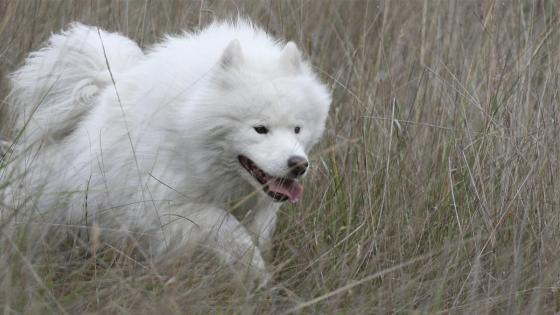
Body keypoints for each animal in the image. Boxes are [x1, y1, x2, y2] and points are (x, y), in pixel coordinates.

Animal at [2, 19, 330, 286]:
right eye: (260, 129)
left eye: (297, 129)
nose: (298, 164)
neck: (188, 126)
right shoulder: (169, 205)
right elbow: (230, 232)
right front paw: (256, 274)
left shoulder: (255, 210)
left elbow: (252, 235)